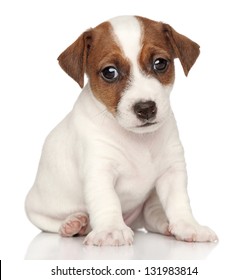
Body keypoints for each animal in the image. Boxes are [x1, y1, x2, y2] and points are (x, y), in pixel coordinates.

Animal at [25, 16, 217, 246]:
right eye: (110, 72)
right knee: (53, 224)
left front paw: (188, 226)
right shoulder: (99, 170)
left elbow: (179, 201)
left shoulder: (172, 170)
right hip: (36, 211)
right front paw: (111, 229)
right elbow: (107, 200)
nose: (146, 108)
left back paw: (166, 225)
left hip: (149, 204)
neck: (138, 140)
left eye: (160, 63)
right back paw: (72, 224)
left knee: (152, 217)